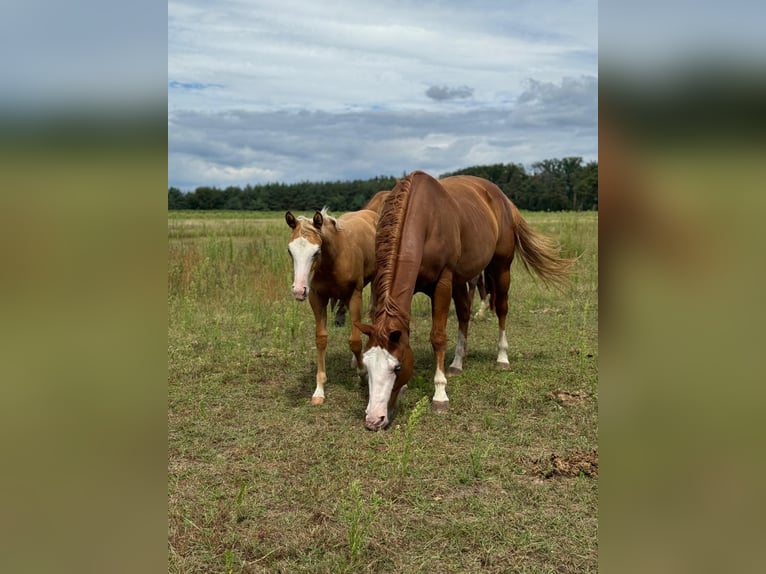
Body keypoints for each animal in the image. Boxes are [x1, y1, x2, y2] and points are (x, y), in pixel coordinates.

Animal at [284, 208, 378, 404]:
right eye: (290, 251)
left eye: (316, 252)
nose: (298, 290)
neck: (334, 259)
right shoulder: (317, 297)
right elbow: (321, 339)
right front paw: (319, 390)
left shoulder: (355, 295)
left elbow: (355, 340)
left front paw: (363, 375)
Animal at [356, 172, 572, 432]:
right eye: (366, 365)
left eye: (397, 367)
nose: (373, 420)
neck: (425, 219)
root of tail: (504, 200)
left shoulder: (443, 283)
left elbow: (438, 337)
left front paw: (440, 395)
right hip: (462, 280)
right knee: (464, 315)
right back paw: (457, 363)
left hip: (501, 267)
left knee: (501, 309)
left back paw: (502, 358)